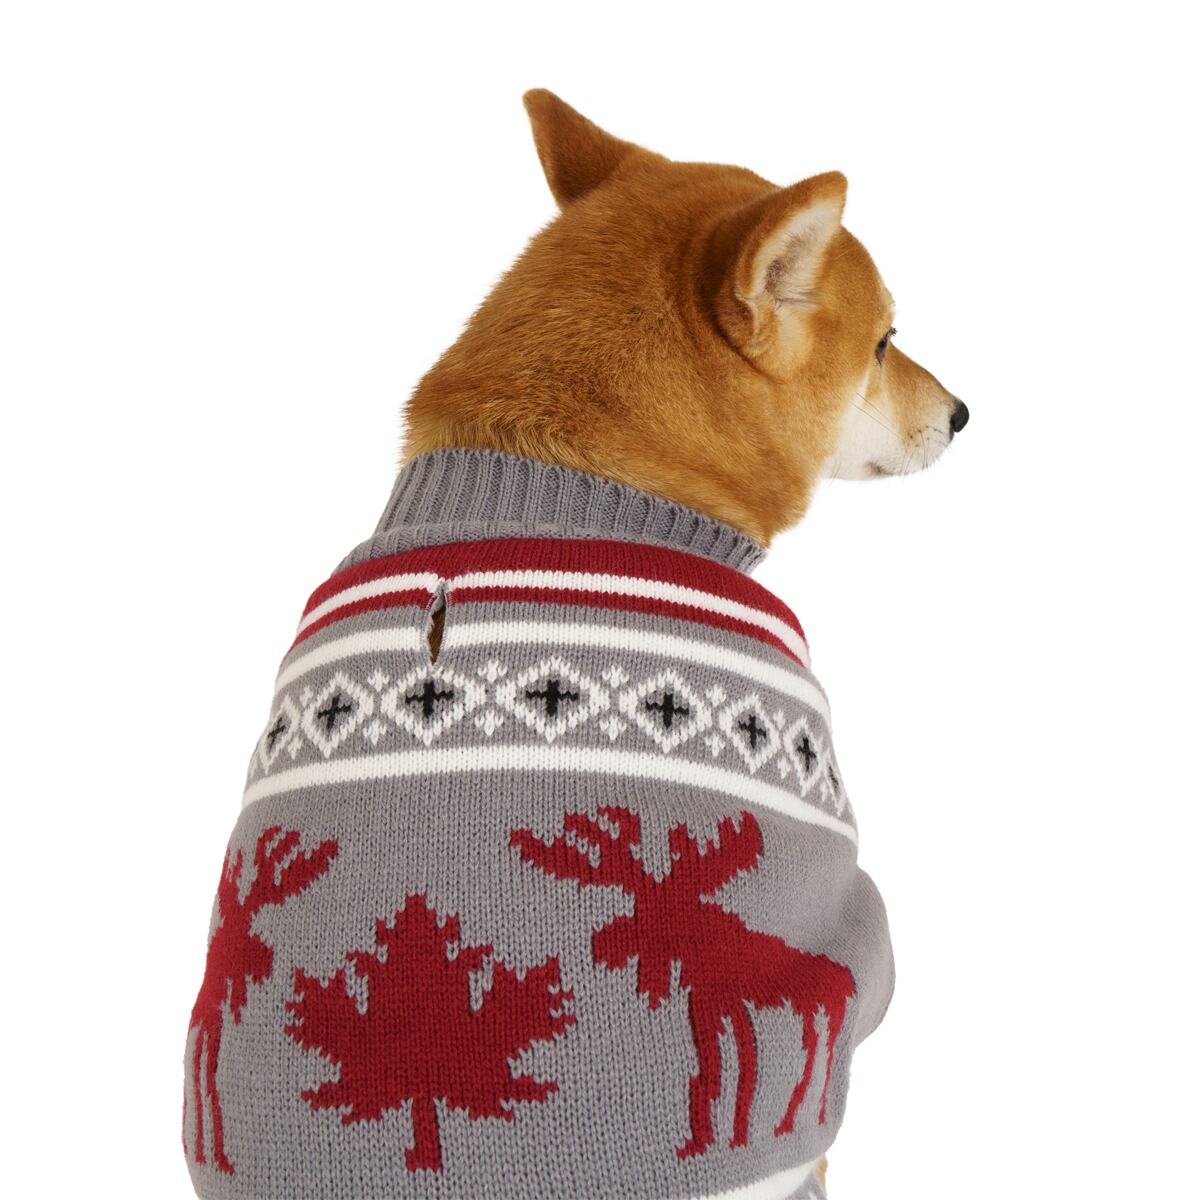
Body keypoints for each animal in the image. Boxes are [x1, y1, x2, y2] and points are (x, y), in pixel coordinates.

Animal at [510, 807, 855, 1158]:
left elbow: (743, 1067)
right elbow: (710, 1072)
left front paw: (733, 1136)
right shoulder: (704, 1010)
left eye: (672, 908)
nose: (603, 944)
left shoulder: (728, 1007)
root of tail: (846, 982)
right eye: (636, 904)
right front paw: (701, 1140)